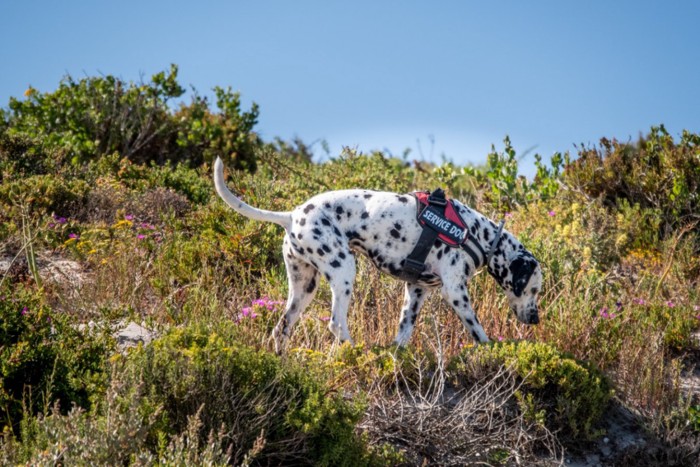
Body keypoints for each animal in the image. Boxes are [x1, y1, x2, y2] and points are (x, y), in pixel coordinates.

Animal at [213, 159, 540, 352]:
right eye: (533, 289)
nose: (536, 319)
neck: (477, 234)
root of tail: (291, 216)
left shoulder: (416, 291)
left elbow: (404, 331)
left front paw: (396, 355)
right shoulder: (456, 292)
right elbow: (476, 328)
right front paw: (490, 349)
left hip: (304, 288)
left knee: (281, 327)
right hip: (344, 270)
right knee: (335, 323)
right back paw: (353, 349)